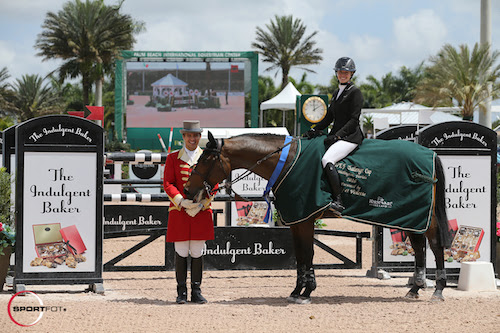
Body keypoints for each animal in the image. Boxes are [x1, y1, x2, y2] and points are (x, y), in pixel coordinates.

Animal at [185, 131, 454, 302]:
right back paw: (415, 289)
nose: (188, 190)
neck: (286, 161)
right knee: (419, 245)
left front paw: (307, 292)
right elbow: (301, 256)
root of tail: (429, 154)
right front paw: (298, 291)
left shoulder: (305, 218)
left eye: (206, 159)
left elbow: (308, 254)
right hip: (408, 214)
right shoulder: (297, 221)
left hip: (419, 215)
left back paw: (438, 290)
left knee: (435, 244)